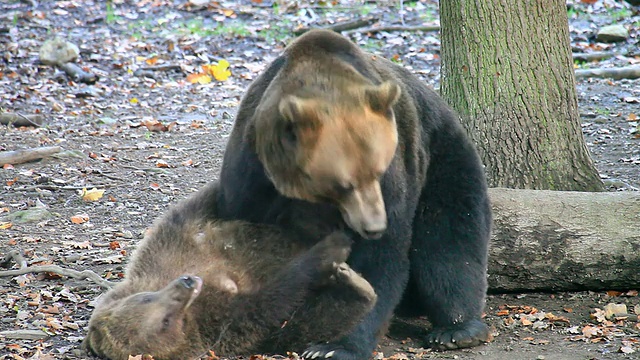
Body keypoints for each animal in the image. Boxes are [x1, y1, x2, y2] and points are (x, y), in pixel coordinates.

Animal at [82, 183, 378, 360]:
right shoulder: (225, 323)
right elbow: (275, 299)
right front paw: (329, 251)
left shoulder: (167, 248)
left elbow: (197, 208)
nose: (188, 282)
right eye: (165, 321)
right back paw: (355, 284)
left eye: (146, 297)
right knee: (321, 318)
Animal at [215, 29, 490, 358]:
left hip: (441, 157)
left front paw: (334, 345)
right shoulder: (254, 177)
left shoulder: (397, 177)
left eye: (379, 171)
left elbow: (380, 259)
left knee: (450, 236)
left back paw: (457, 328)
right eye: (344, 184)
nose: (374, 226)